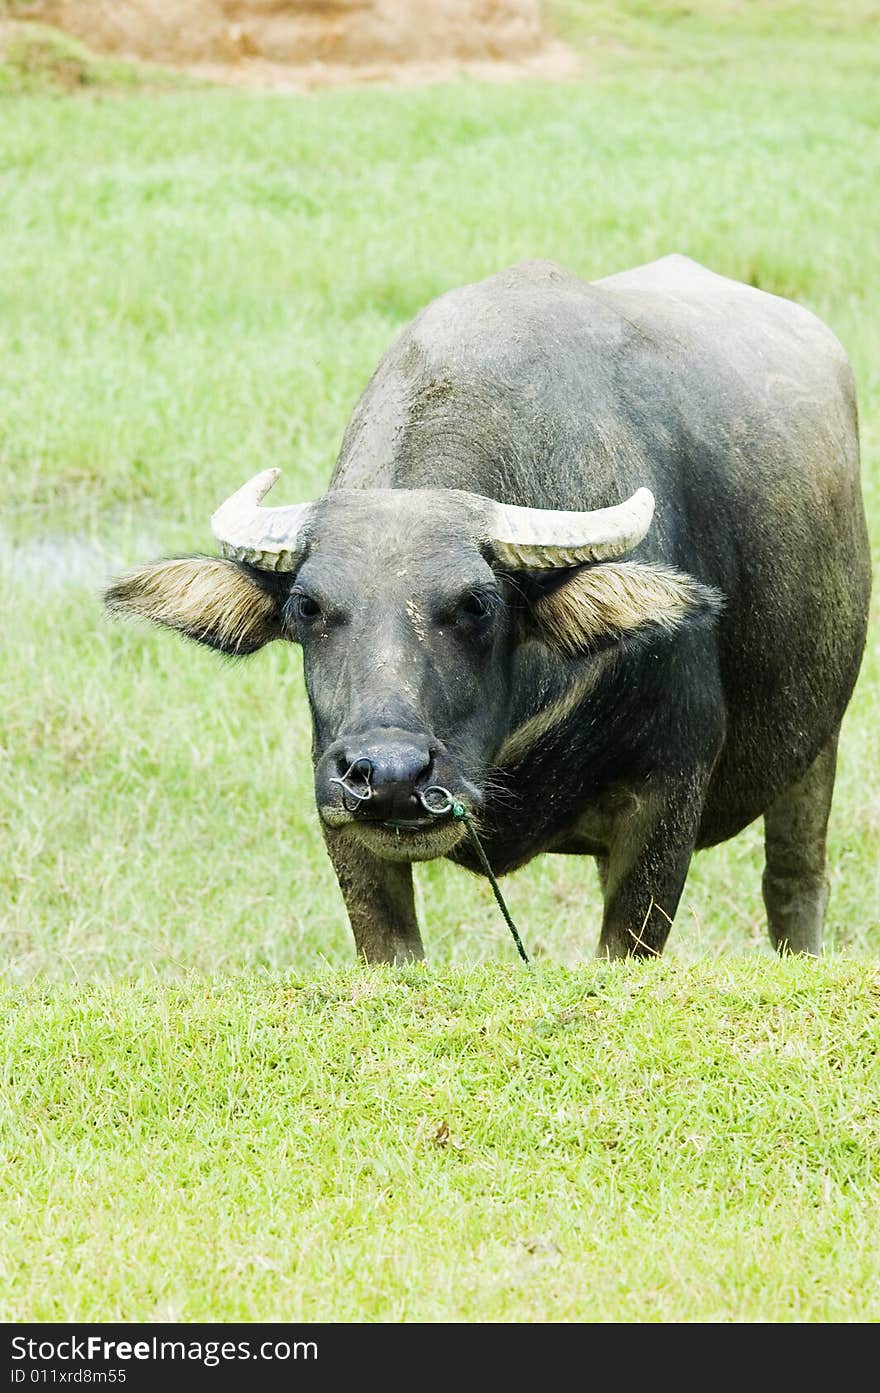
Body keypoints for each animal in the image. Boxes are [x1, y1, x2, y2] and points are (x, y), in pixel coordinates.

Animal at [106, 256, 868, 963]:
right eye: (307, 607)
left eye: (477, 604)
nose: (390, 777)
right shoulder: (337, 811)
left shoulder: (668, 790)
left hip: (817, 745)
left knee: (794, 882)